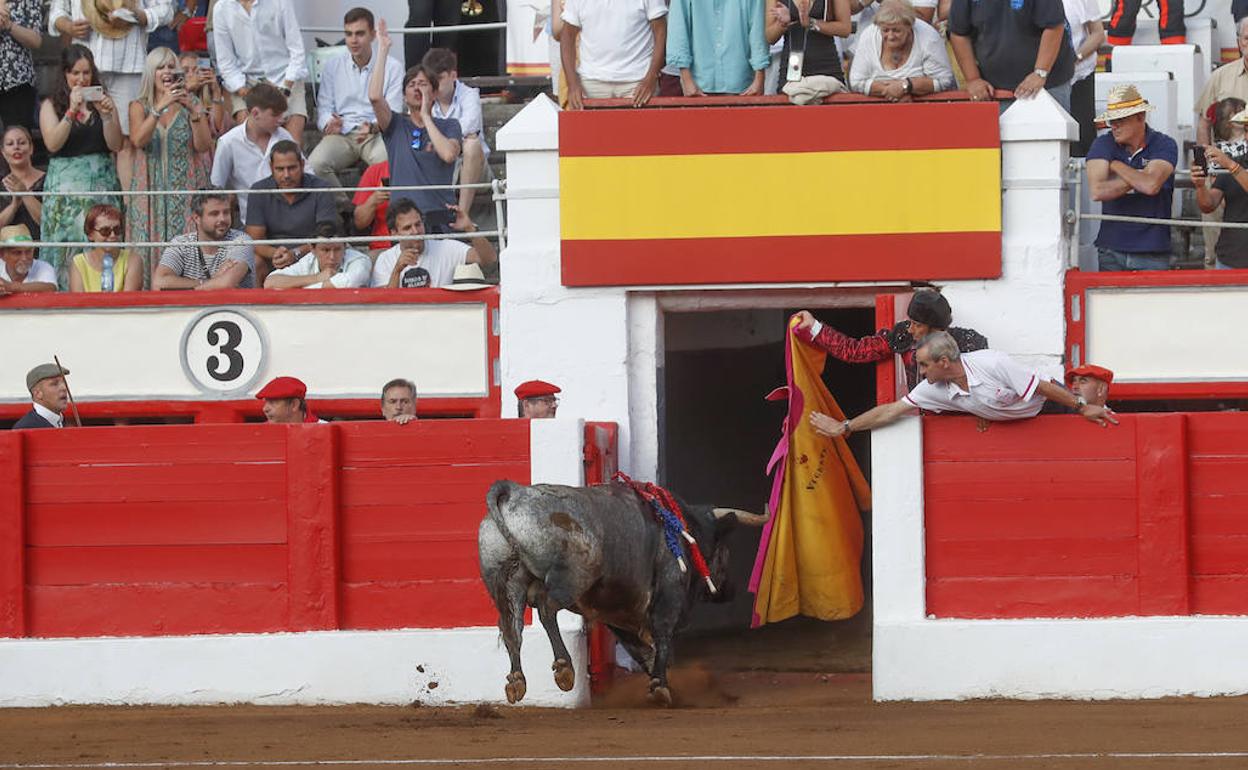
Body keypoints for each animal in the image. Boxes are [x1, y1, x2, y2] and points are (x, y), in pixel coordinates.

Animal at [481, 476, 763, 703]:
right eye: (723, 550)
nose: (731, 589)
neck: (685, 530)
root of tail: (516, 493)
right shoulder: (669, 591)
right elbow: (662, 637)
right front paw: (660, 686)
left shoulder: (616, 611)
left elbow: (641, 649)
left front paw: (659, 681)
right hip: (573, 577)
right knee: (546, 606)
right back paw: (564, 669)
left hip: (506, 585)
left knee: (511, 629)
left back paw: (516, 681)